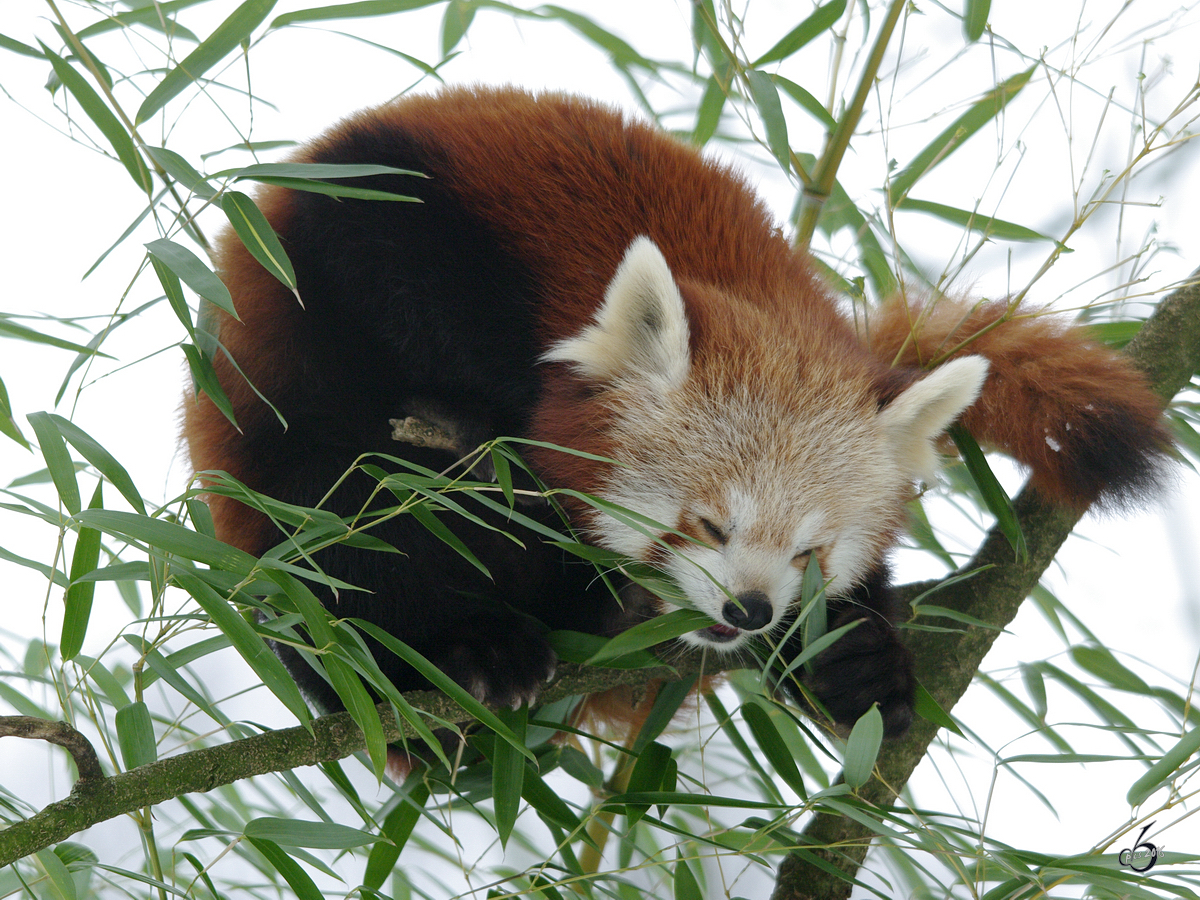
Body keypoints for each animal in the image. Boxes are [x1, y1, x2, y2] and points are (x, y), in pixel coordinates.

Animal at [182, 88, 1166, 744]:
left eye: (809, 553)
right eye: (708, 524)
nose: (751, 611)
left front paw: (853, 660)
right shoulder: (396, 209)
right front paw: (489, 430)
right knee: (341, 516)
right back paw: (456, 652)